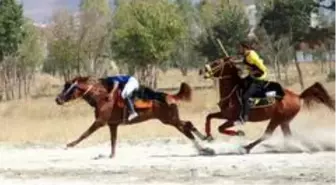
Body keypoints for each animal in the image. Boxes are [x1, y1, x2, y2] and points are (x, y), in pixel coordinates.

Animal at [54, 76, 213, 158]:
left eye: (69, 87)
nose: (57, 99)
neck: (101, 97)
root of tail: (169, 96)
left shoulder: (100, 122)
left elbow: (84, 134)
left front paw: (70, 145)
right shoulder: (112, 124)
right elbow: (113, 140)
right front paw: (112, 155)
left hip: (170, 120)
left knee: (186, 128)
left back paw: (203, 148)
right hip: (170, 119)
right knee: (188, 124)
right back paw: (205, 142)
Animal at [197, 57, 336, 154]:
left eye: (216, 63)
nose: (201, 70)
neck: (233, 91)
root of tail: (298, 96)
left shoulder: (234, 118)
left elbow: (220, 128)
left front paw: (239, 133)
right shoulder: (225, 114)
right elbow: (209, 117)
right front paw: (207, 136)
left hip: (276, 119)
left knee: (267, 134)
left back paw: (247, 147)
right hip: (284, 121)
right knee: (287, 136)